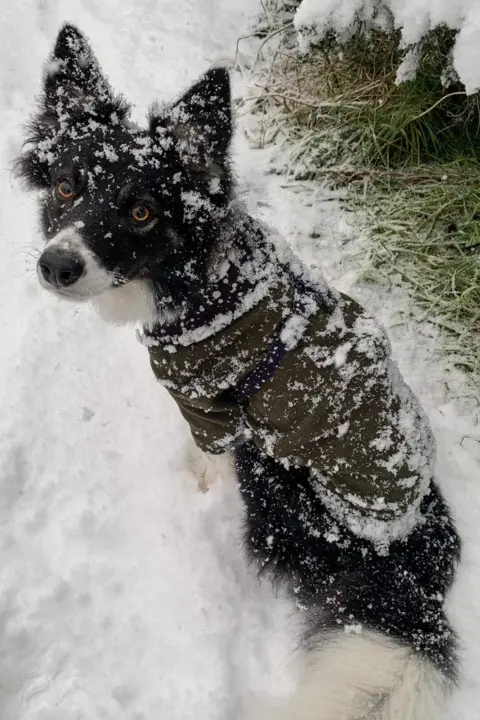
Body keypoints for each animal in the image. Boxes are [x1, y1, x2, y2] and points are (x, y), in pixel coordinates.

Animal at [17, 23, 462, 720]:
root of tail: (409, 548)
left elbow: (207, 457)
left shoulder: (209, 403)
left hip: (280, 482)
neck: (197, 281)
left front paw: (197, 489)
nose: (55, 267)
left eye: (142, 211)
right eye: (67, 186)